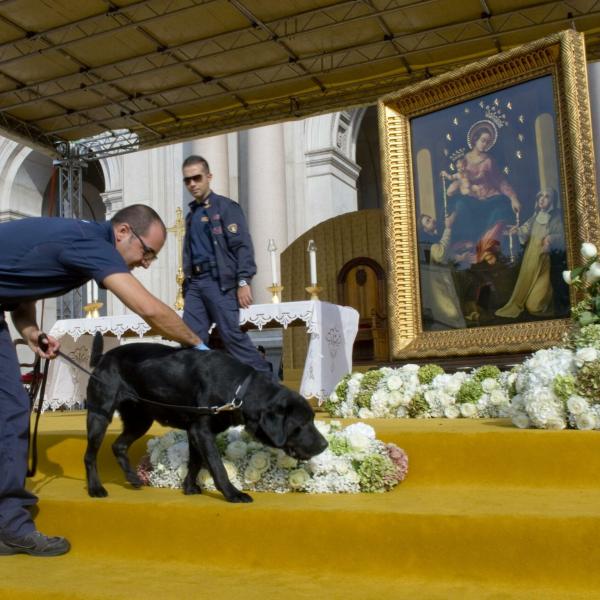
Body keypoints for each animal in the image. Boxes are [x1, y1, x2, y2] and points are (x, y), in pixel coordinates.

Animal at [83, 338, 328, 502]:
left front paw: (189, 487)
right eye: (301, 424)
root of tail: (103, 358)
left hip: (139, 420)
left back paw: (133, 478)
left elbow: (195, 461)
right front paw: (232, 494)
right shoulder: (202, 430)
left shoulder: (194, 430)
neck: (239, 390)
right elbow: (216, 465)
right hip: (99, 415)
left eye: (312, 419)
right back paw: (95, 488)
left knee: (118, 445)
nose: (324, 445)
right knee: (90, 456)